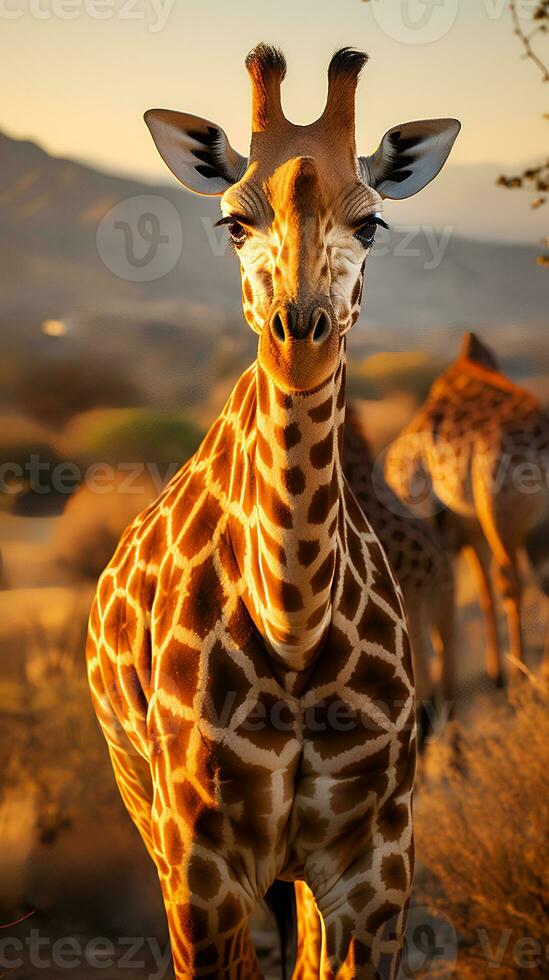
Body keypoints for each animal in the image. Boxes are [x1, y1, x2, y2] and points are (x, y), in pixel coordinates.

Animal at [85, 42, 458, 976]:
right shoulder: (201, 869)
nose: (301, 334)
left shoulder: (375, 868)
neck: (291, 621)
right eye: (231, 222)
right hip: (139, 798)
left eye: (371, 223)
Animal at [384, 334, 548, 684]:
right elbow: (485, 587)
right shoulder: (473, 524)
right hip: (508, 522)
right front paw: (497, 671)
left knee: (510, 582)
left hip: (501, 519)